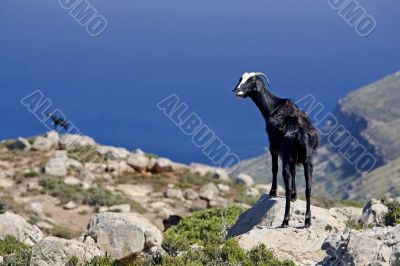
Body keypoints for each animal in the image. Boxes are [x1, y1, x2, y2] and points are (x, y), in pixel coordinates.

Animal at [234, 72, 318, 229]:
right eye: (240, 79)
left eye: (251, 81)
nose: (237, 90)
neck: (274, 107)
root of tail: (301, 133)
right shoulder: (293, 159)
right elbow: (294, 173)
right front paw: (295, 196)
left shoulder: (273, 148)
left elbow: (274, 168)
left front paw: (272, 192)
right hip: (308, 161)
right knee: (308, 188)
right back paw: (308, 220)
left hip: (286, 157)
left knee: (286, 183)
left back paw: (285, 220)